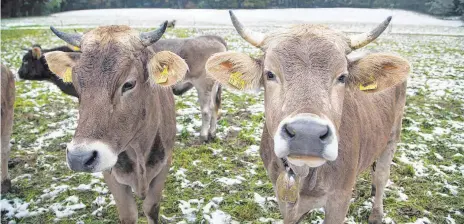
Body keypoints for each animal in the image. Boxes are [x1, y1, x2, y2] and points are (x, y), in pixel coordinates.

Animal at [19, 37, 226, 143]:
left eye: (26, 60)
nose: (19, 73)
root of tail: (212, 38)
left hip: (203, 86)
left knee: (206, 110)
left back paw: (203, 136)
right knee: (215, 109)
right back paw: (212, 134)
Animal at [43, 21, 188, 223]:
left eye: (129, 84)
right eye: (77, 85)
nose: (79, 158)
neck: (139, 150)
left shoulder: (164, 164)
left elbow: (151, 208)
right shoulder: (110, 173)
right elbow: (128, 214)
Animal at [207, 10, 410, 224]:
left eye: (342, 77)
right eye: (270, 74)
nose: (307, 134)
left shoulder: (340, 198)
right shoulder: (284, 198)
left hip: (393, 136)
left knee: (381, 175)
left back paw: (376, 213)